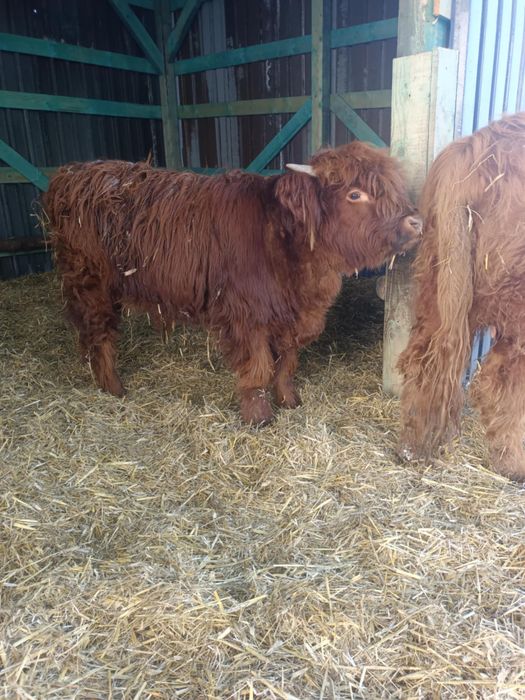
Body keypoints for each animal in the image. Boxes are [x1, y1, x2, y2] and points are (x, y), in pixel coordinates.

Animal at [43, 141, 421, 425]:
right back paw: (113, 387)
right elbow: (258, 367)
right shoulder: (246, 315)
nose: (415, 222)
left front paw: (289, 399)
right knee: (99, 334)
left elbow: (286, 363)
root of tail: (71, 172)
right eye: (355, 195)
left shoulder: (291, 315)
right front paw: (259, 415)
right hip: (89, 282)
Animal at [398, 112, 525, 481]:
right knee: (503, 376)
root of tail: (475, 148)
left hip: (437, 278)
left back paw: (413, 447)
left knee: (424, 358)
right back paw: (512, 462)